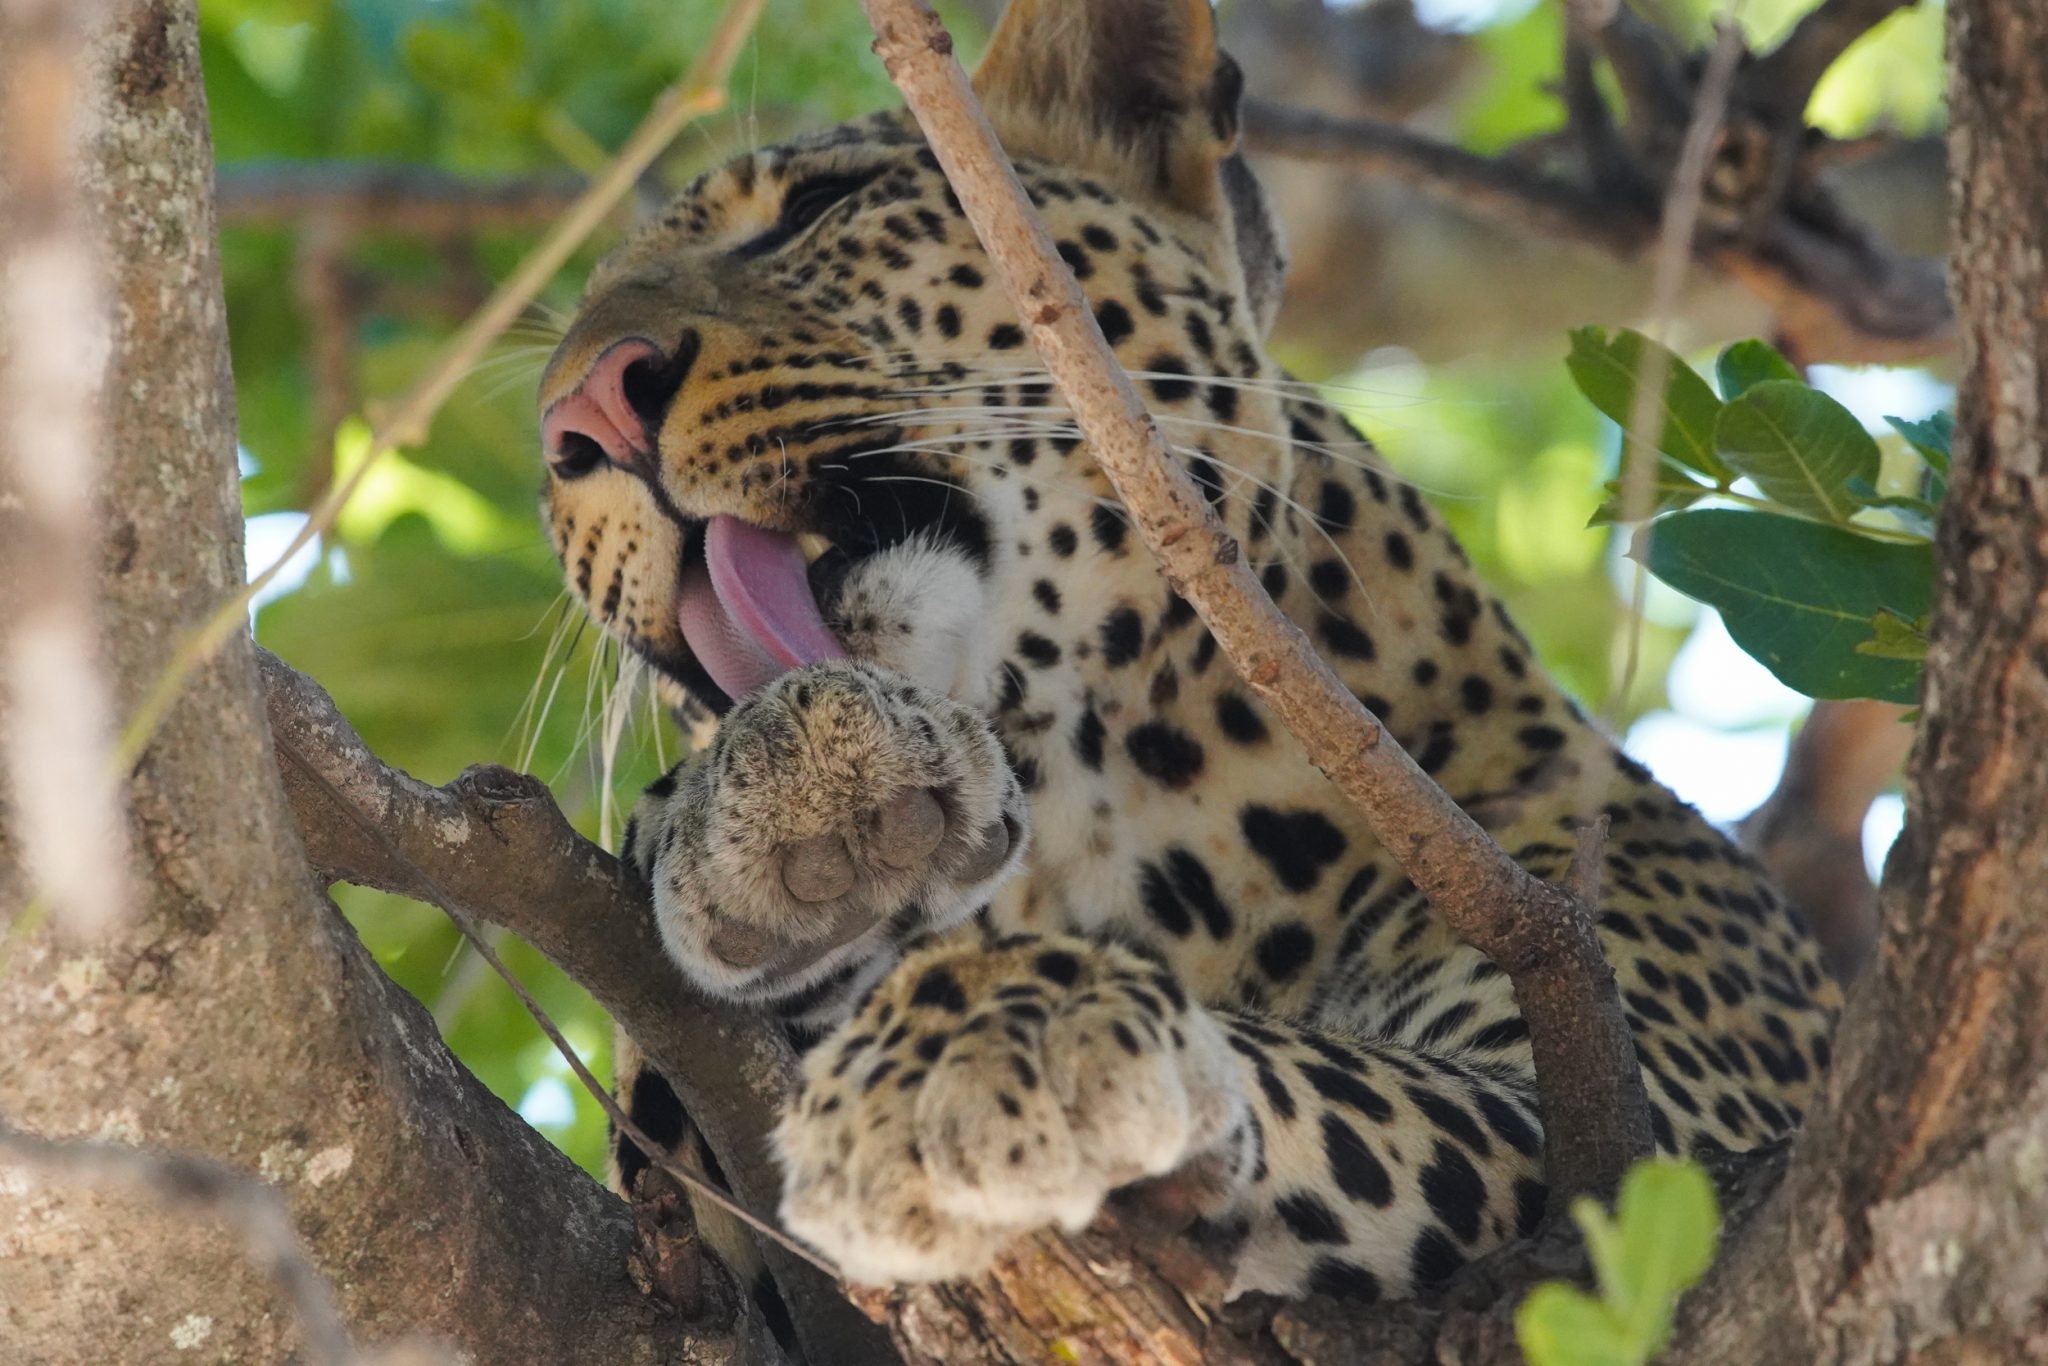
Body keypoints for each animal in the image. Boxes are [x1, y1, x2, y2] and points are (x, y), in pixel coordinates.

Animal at [534, 0, 1839, 1333]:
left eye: (814, 207)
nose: (577, 414)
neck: (1094, 831)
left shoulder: (1643, 1128)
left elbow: (1314, 1074)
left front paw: (996, 1043)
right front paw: (767, 829)